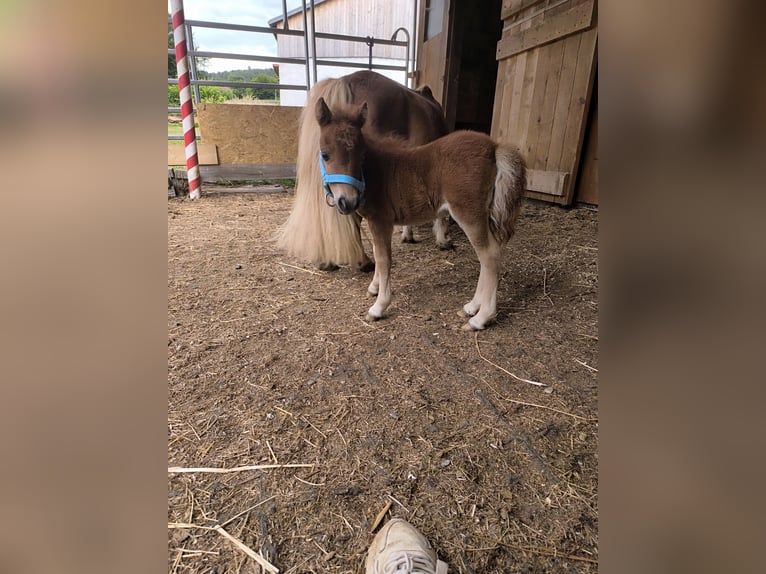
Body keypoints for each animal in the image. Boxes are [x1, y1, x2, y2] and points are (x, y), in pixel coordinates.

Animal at [315, 98, 526, 330]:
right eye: (325, 154)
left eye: (361, 156)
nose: (347, 202)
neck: (377, 172)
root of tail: (494, 147)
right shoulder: (374, 222)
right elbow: (378, 254)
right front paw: (374, 287)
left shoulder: (381, 220)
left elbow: (384, 259)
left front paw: (379, 307)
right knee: (487, 256)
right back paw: (471, 307)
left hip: (469, 215)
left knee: (490, 255)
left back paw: (480, 318)